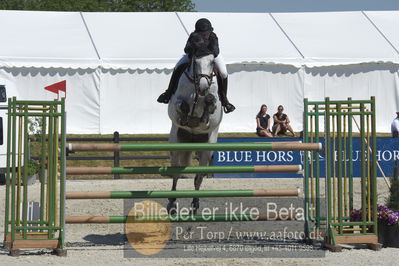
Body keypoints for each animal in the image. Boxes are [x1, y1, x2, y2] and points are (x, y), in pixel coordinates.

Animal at [167, 54, 223, 214]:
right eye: (195, 61)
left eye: (212, 62)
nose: (203, 87)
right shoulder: (175, 107)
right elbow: (182, 106)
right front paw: (186, 118)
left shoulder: (213, 114)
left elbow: (210, 104)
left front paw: (204, 114)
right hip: (176, 143)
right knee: (176, 174)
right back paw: (172, 204)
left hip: (206, 149)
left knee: (199, 176)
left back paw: (195, 205)